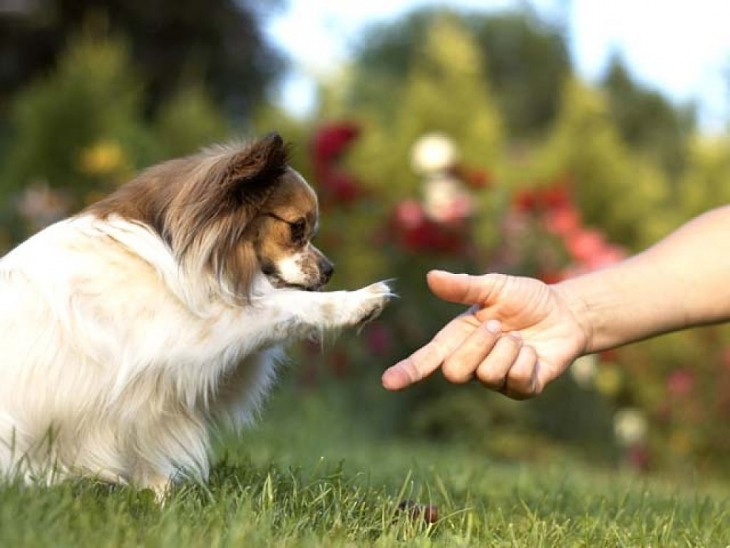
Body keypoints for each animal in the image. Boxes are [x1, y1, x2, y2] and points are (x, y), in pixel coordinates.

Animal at [0, 133, 392, 496]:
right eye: (297, 228)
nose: (330, 271)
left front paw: (159, 500)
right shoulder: (193, 340)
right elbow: (288, 306)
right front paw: (361, 301)